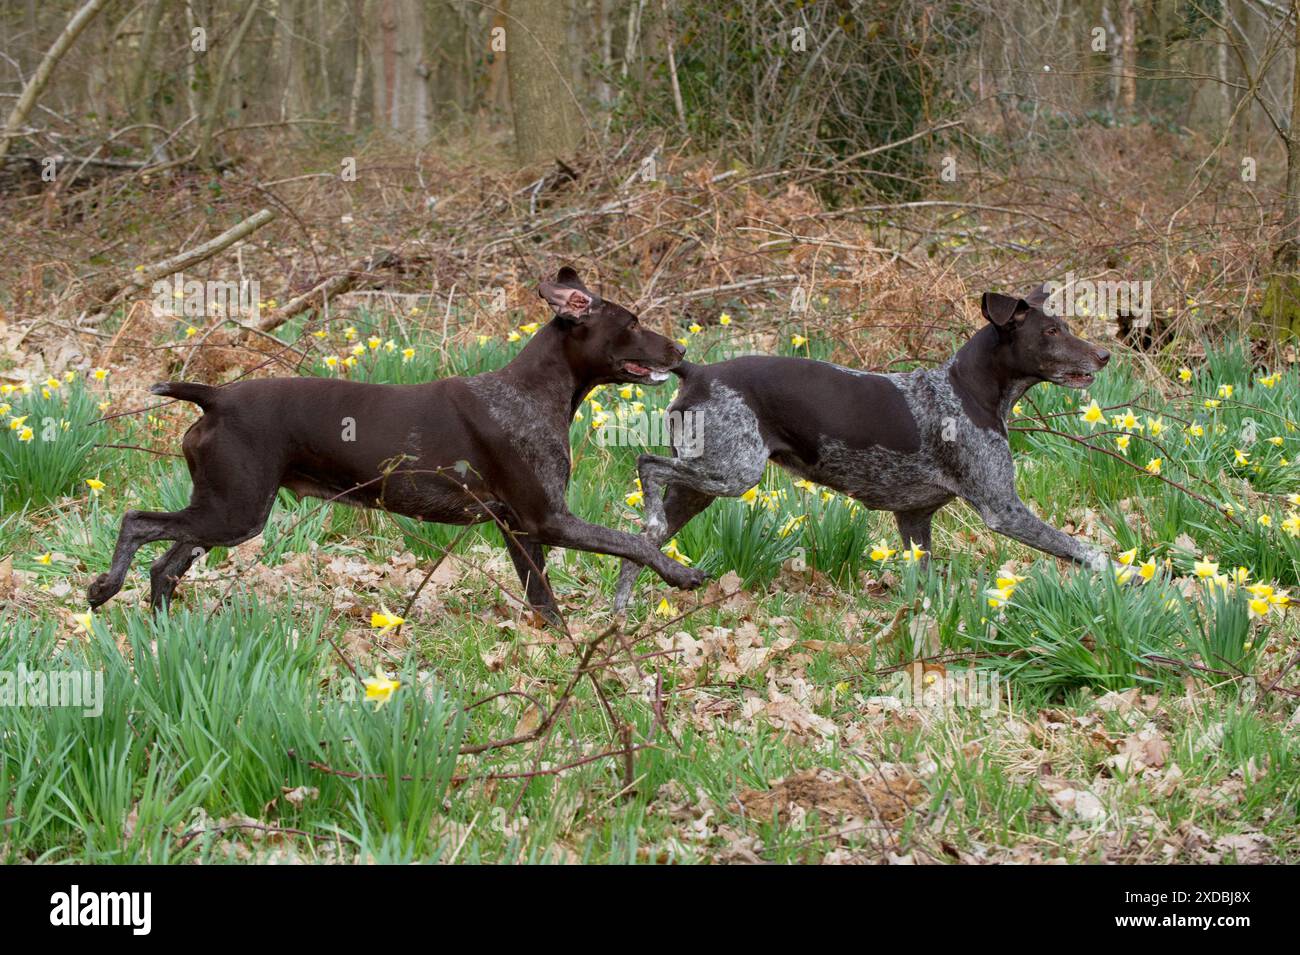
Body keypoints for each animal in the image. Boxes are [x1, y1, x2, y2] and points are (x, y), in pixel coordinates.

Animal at [613, 285, 1112, 613]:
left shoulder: (915, 519)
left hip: (702, 487)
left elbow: (924, 587)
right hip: (733, 472)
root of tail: (696, 371)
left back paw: (620, 614)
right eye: (1052, 331)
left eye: (1064, 327)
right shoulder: (1003, 509)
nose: (1105, 355)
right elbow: (1084, 551)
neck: (967, 391)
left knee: (640, 545)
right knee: (648, 465)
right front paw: (1121, 577)